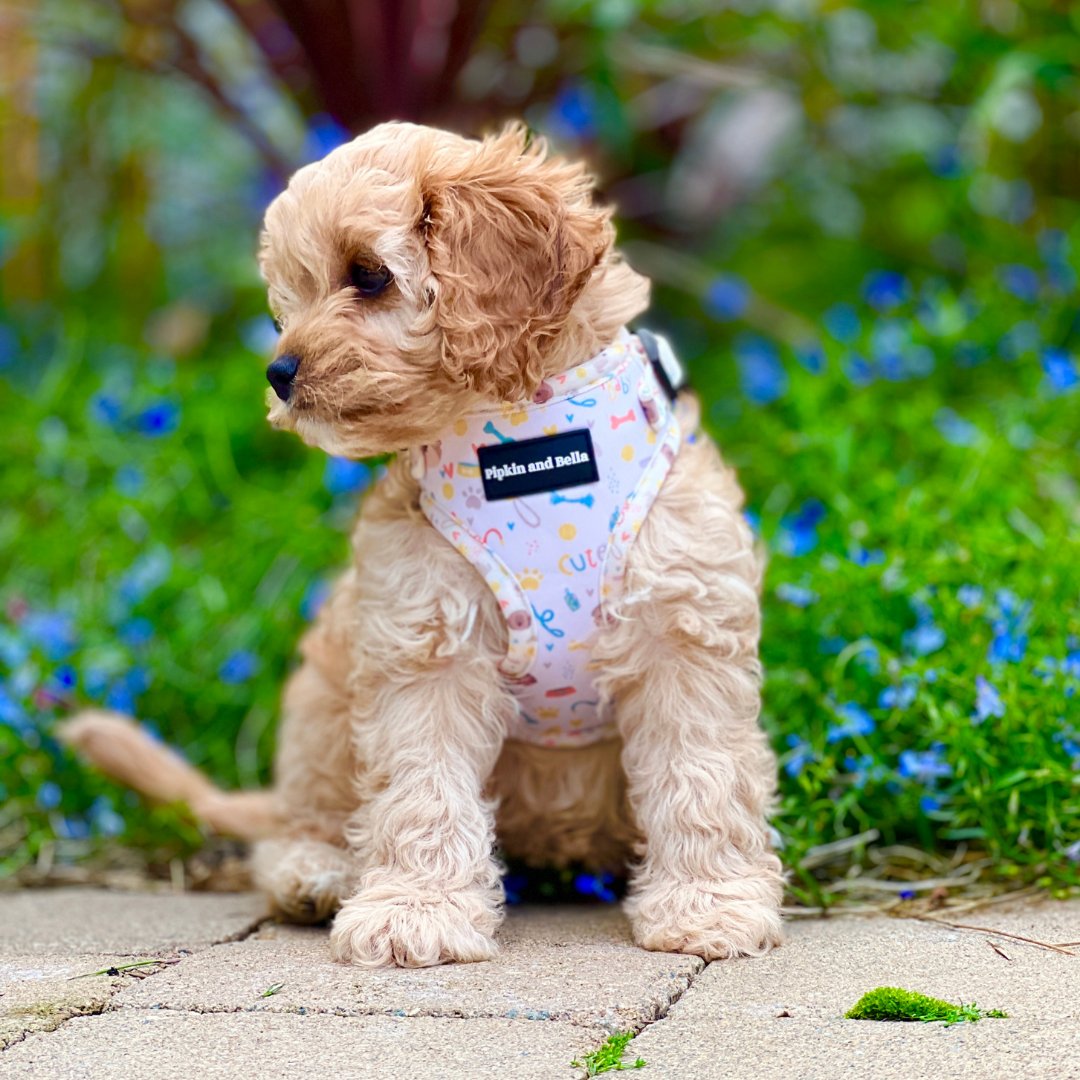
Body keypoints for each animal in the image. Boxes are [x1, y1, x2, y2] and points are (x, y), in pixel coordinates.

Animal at [61, 120, 786, 972]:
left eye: (369, 275)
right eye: (284, 307)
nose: (279, 372)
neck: (525, 438)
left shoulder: (683, 627)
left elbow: (702, 776)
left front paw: (709, 906)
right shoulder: (423, 640)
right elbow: (421, 786)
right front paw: (416, 912)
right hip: (319, 707)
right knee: (299, 821)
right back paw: (317, 872)